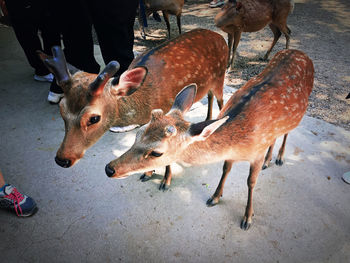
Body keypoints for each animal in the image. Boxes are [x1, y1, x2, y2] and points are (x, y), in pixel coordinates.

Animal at [37, 28, 227, 183]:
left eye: (94, 118)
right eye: (61, 110)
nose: (62, 160)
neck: (144, 103)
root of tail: (220, 36)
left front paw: (165, 181)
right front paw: (148, 173)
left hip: (220, 76)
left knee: (220, 100)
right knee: (209, 95)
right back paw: (209, 118)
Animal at [104, 50, 314, 231]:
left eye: (157, 152)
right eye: (138, 134)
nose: (109, 169)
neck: (240, 143)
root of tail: (302, 54)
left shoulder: (256, 153)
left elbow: (251, 182)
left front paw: (247, 217)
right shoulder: (232, 154)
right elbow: (225, 169)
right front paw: (215, 196)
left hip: (299, 114)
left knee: (286, 133)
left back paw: (278, 158)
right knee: (276, 136)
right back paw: (269, 160)